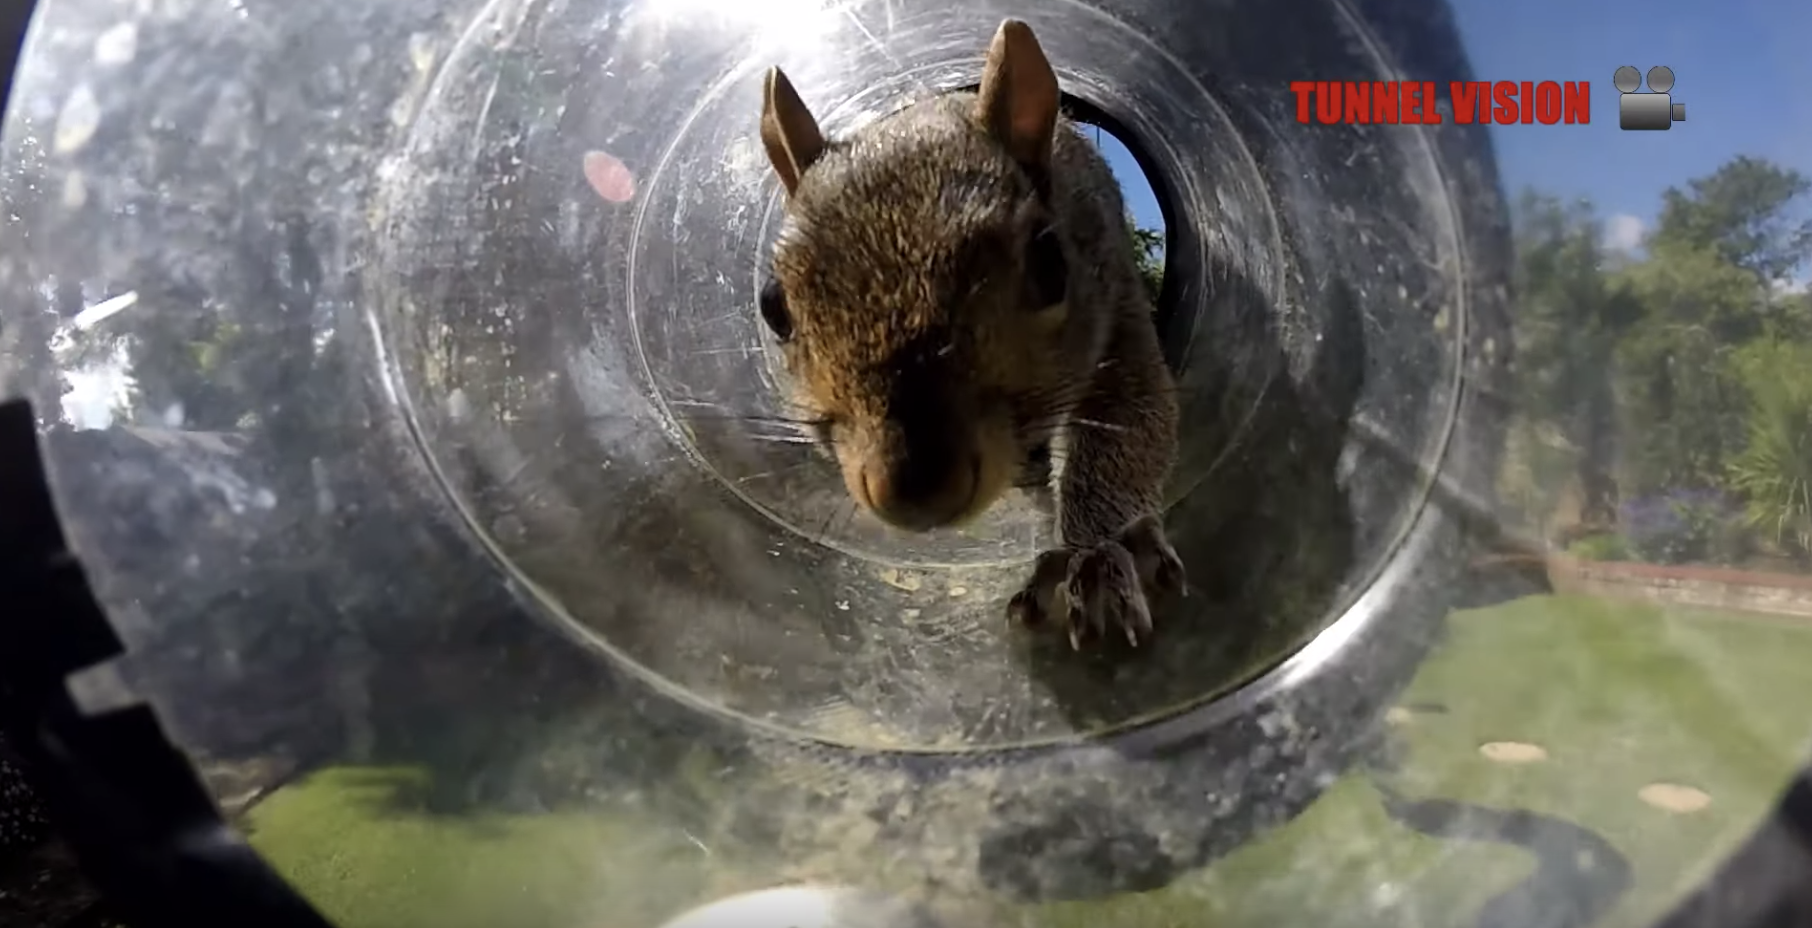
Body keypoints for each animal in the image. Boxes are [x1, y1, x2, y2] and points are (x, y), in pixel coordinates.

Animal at [755, 19, 1185, 650]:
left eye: (1050, 265)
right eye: (773, 307)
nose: (913, 493)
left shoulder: (1118, 307)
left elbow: (1127, 423)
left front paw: (1097, 559)